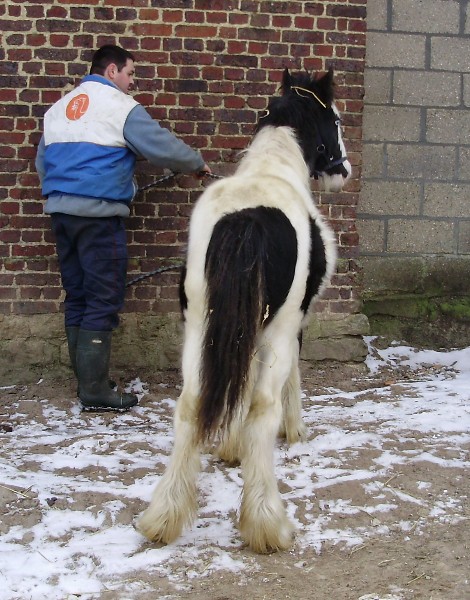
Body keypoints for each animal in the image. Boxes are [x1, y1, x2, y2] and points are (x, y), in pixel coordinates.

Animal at [136, 68, 348, 552]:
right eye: (335, 120)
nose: (342, 171)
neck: (273, 171)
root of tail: (247, 219)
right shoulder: (293, 324)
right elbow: (286, 385)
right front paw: (295, 431)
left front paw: (228, 448)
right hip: (275, 331)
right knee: (262, 408)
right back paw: (267, 523)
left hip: (199, 330)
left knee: (190, 405)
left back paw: (164, 517)